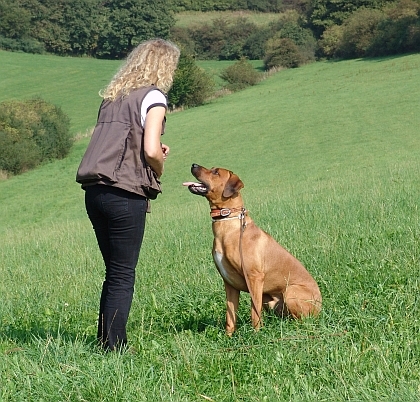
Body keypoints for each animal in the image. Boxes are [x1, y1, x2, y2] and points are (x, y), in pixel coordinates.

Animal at [183, 163, 322, 336]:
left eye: (215, 172)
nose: (193, 165)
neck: (229, 224)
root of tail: (321, 306)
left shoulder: (254, 277)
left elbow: (254, 313)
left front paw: (256, 336)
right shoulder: (229, 283)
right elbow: (230, 316)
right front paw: (228, 337)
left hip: (290, 292)